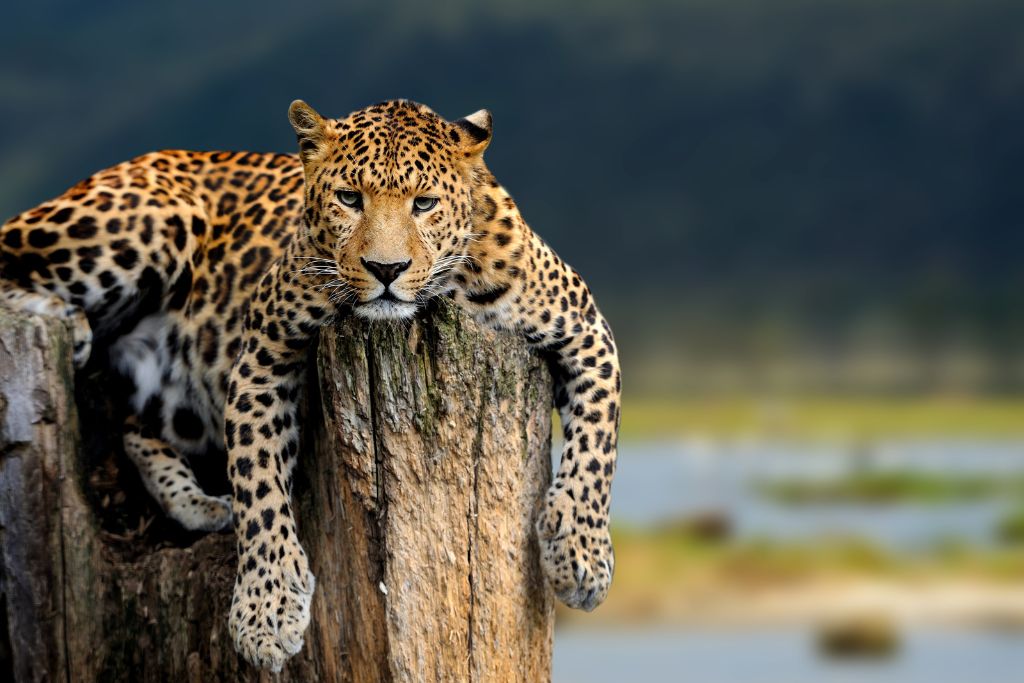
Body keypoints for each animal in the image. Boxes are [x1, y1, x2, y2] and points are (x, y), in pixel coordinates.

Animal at [0, 101, 622, 671]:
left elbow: (598, 445)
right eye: (349, 198)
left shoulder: (588, 331)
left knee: (135, 428)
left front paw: (580, 556)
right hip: (145, 221)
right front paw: (266, 611)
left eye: (423, 204)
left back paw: (201, 504)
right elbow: (258, 481)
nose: (386, 270)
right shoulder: (263, 350)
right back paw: (69, 323)